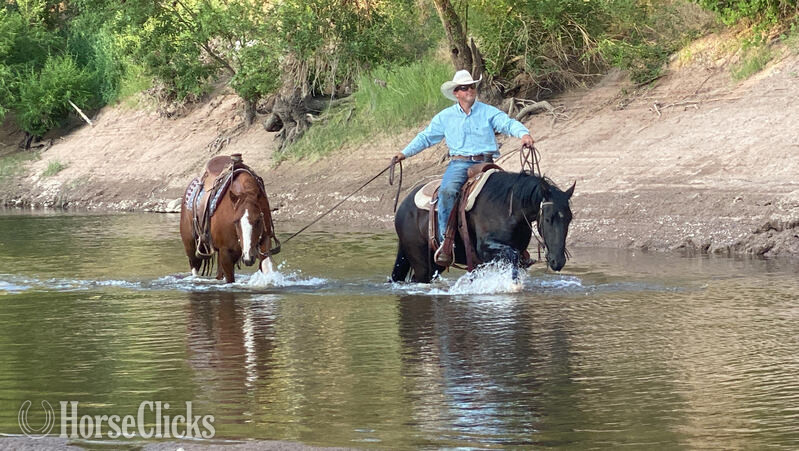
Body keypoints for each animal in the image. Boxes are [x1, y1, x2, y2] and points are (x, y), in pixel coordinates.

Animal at [391, 171, 574, 283]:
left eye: (569, 219)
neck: (508, 207)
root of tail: (403, 207)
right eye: (548, 219)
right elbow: (512, 255)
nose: (558, 261)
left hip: (433, 265)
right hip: (422, 264)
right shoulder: (485, 248)